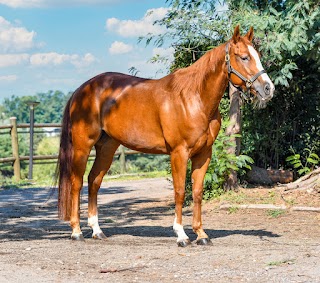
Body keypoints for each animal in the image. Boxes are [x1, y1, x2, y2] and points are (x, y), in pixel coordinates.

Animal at [57, 25, 276, 247]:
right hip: (83, 146)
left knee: (94, 181)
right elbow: (180, 192)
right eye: (244, 57)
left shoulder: (204, 154)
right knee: (77, 183)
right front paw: (181, 235)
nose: (268, 89)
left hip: (107, 148)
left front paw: (201, 234)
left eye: (258, 56)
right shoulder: (179, 153)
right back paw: (76, 231)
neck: (194, 98)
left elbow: (197, 192)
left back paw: (97, 230)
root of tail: (81, 91)